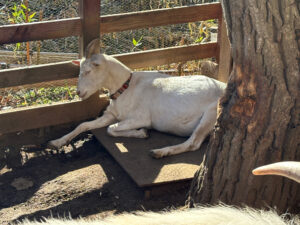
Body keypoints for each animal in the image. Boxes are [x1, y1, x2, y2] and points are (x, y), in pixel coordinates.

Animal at [47, 38, 225, 158]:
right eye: (80, 71)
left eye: (88, 71)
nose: (78, 92)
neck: (127, 86)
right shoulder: (111, 115)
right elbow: (84, 125)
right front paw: (56, 142)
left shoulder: (140, 118)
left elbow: (111, 129)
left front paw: (142, 132)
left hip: (212, 113)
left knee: (193, 143)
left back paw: (159, 152)